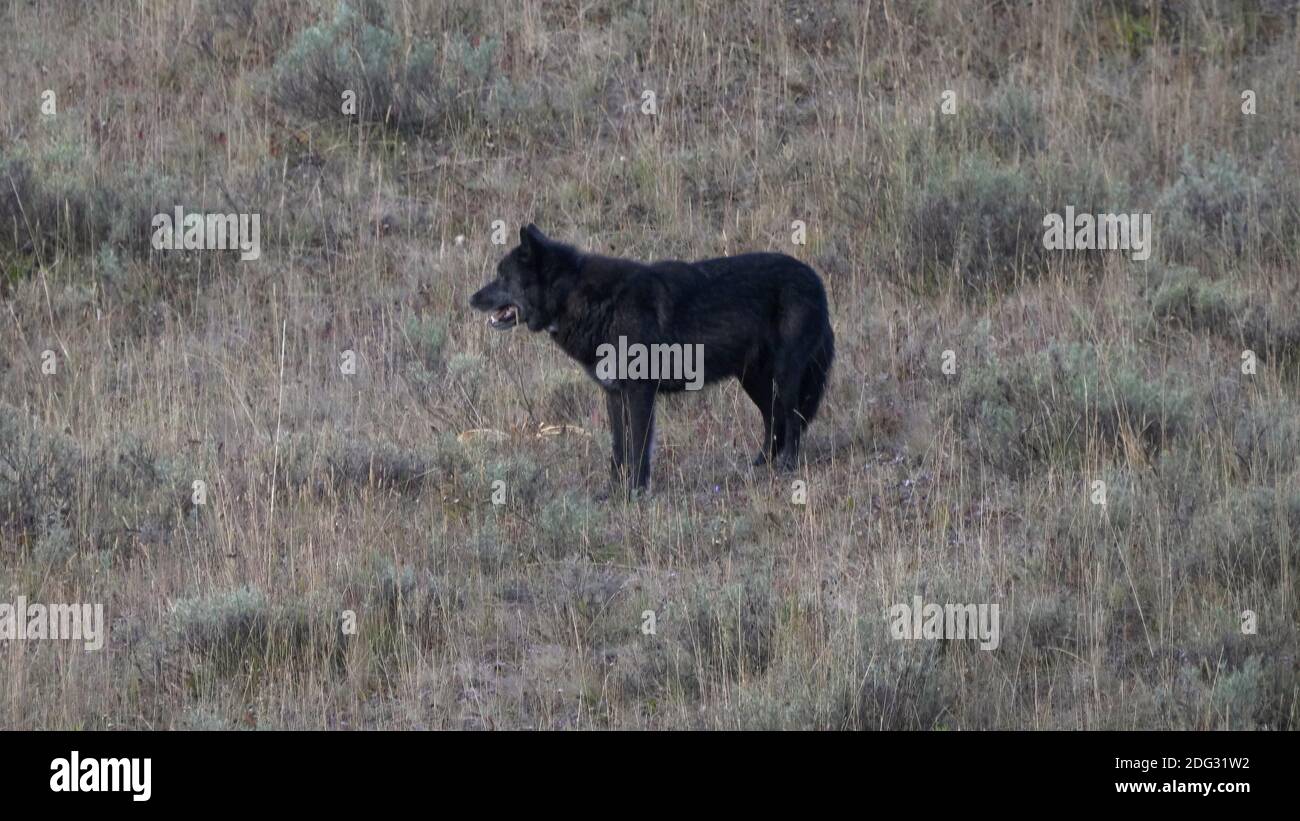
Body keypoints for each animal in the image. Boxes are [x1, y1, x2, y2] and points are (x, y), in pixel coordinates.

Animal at [469, 225, 834, 493]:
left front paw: (637, 491)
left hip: (785, 377)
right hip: (754, 381)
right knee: (774, 419)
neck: (586, 299)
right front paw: (613, 492)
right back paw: (761, 466)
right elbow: (618, 449)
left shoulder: (640, 392)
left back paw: (786, 467)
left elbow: (639, 447)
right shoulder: (614, 394)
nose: (471, 299)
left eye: (503, 277)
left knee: (792, 419)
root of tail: (816, 279)